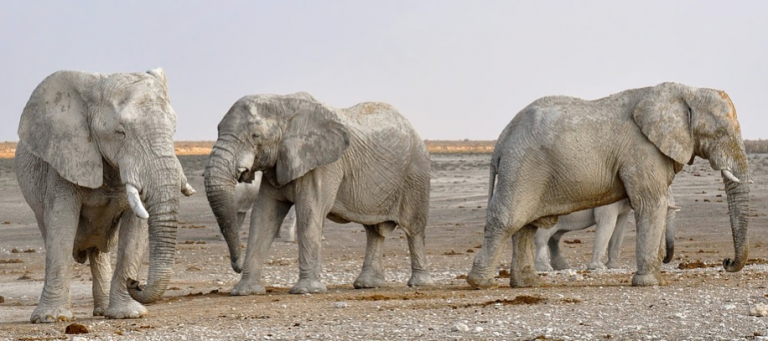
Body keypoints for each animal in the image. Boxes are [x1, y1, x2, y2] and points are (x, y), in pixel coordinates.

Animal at [14, 68, 195, 322]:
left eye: (174, 130)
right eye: (120, 132)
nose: (136, 282)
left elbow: (134, 232)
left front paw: (128, 314)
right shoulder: (64, 158)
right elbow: (61, 225)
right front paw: (51, 318)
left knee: (98, 251)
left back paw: (102, 311)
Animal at [204, 91, 432, 294]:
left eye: (255, 135)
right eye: (218, 129)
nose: (237, 266)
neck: (283, 104)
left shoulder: (324, 164)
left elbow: (309, 212)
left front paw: (307, 290)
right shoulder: (278, 164)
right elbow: (264, 215)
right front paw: (245, 291)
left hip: (416, 173)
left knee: (413, 228)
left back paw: (418, 284)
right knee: (374, 231)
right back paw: (367, 285)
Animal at [536, 186, 680, 270]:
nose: (664, 260)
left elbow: (619, 228)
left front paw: (613, 267)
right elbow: (607, 223)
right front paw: (598, 267)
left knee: (554, 238)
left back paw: (562, 267)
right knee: (542, 237)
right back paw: (545, 268)